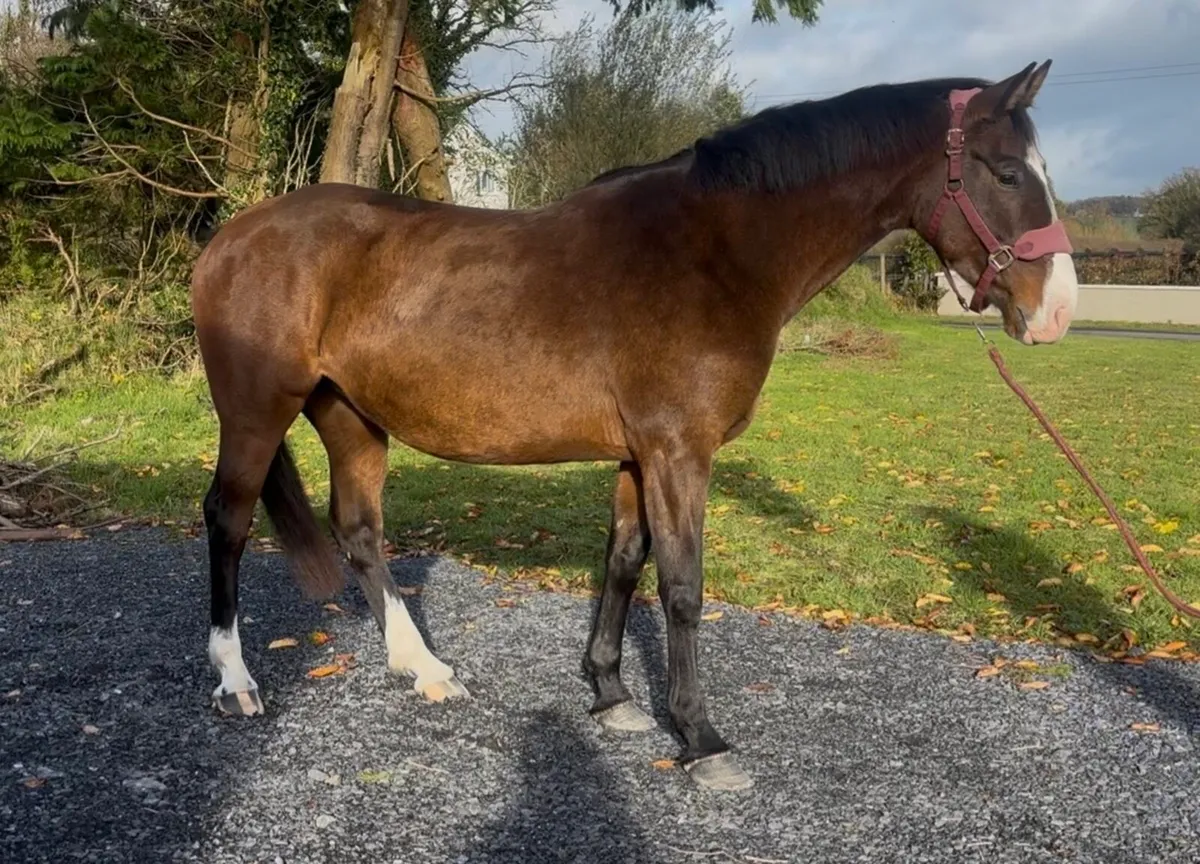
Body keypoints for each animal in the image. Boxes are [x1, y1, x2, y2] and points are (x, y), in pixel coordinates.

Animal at [190, 61, 1077, 792]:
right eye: (1005, 172)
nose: (1058, 314)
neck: (717, 251)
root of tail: (231, 236)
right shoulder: (679, 452)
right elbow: (681, 587)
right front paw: (701, 738)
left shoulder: (637, 456)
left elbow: (622, 563)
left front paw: (612, 694)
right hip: (256, 412)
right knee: (227, 519)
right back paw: (236, 682)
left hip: (350, 416)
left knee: (361, 532)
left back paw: (423, 667)